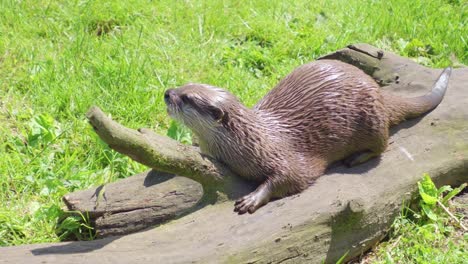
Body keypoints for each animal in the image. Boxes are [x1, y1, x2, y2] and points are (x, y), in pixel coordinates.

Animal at [164, 59, 450, 214]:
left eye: (187, 97)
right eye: (182, 85)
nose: (167, 93)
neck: (250, 142)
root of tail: (379, 92)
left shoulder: (285, 158)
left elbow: (289, 177)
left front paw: (253, 198)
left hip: (370, 120)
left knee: (383, 145)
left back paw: (356, 158)